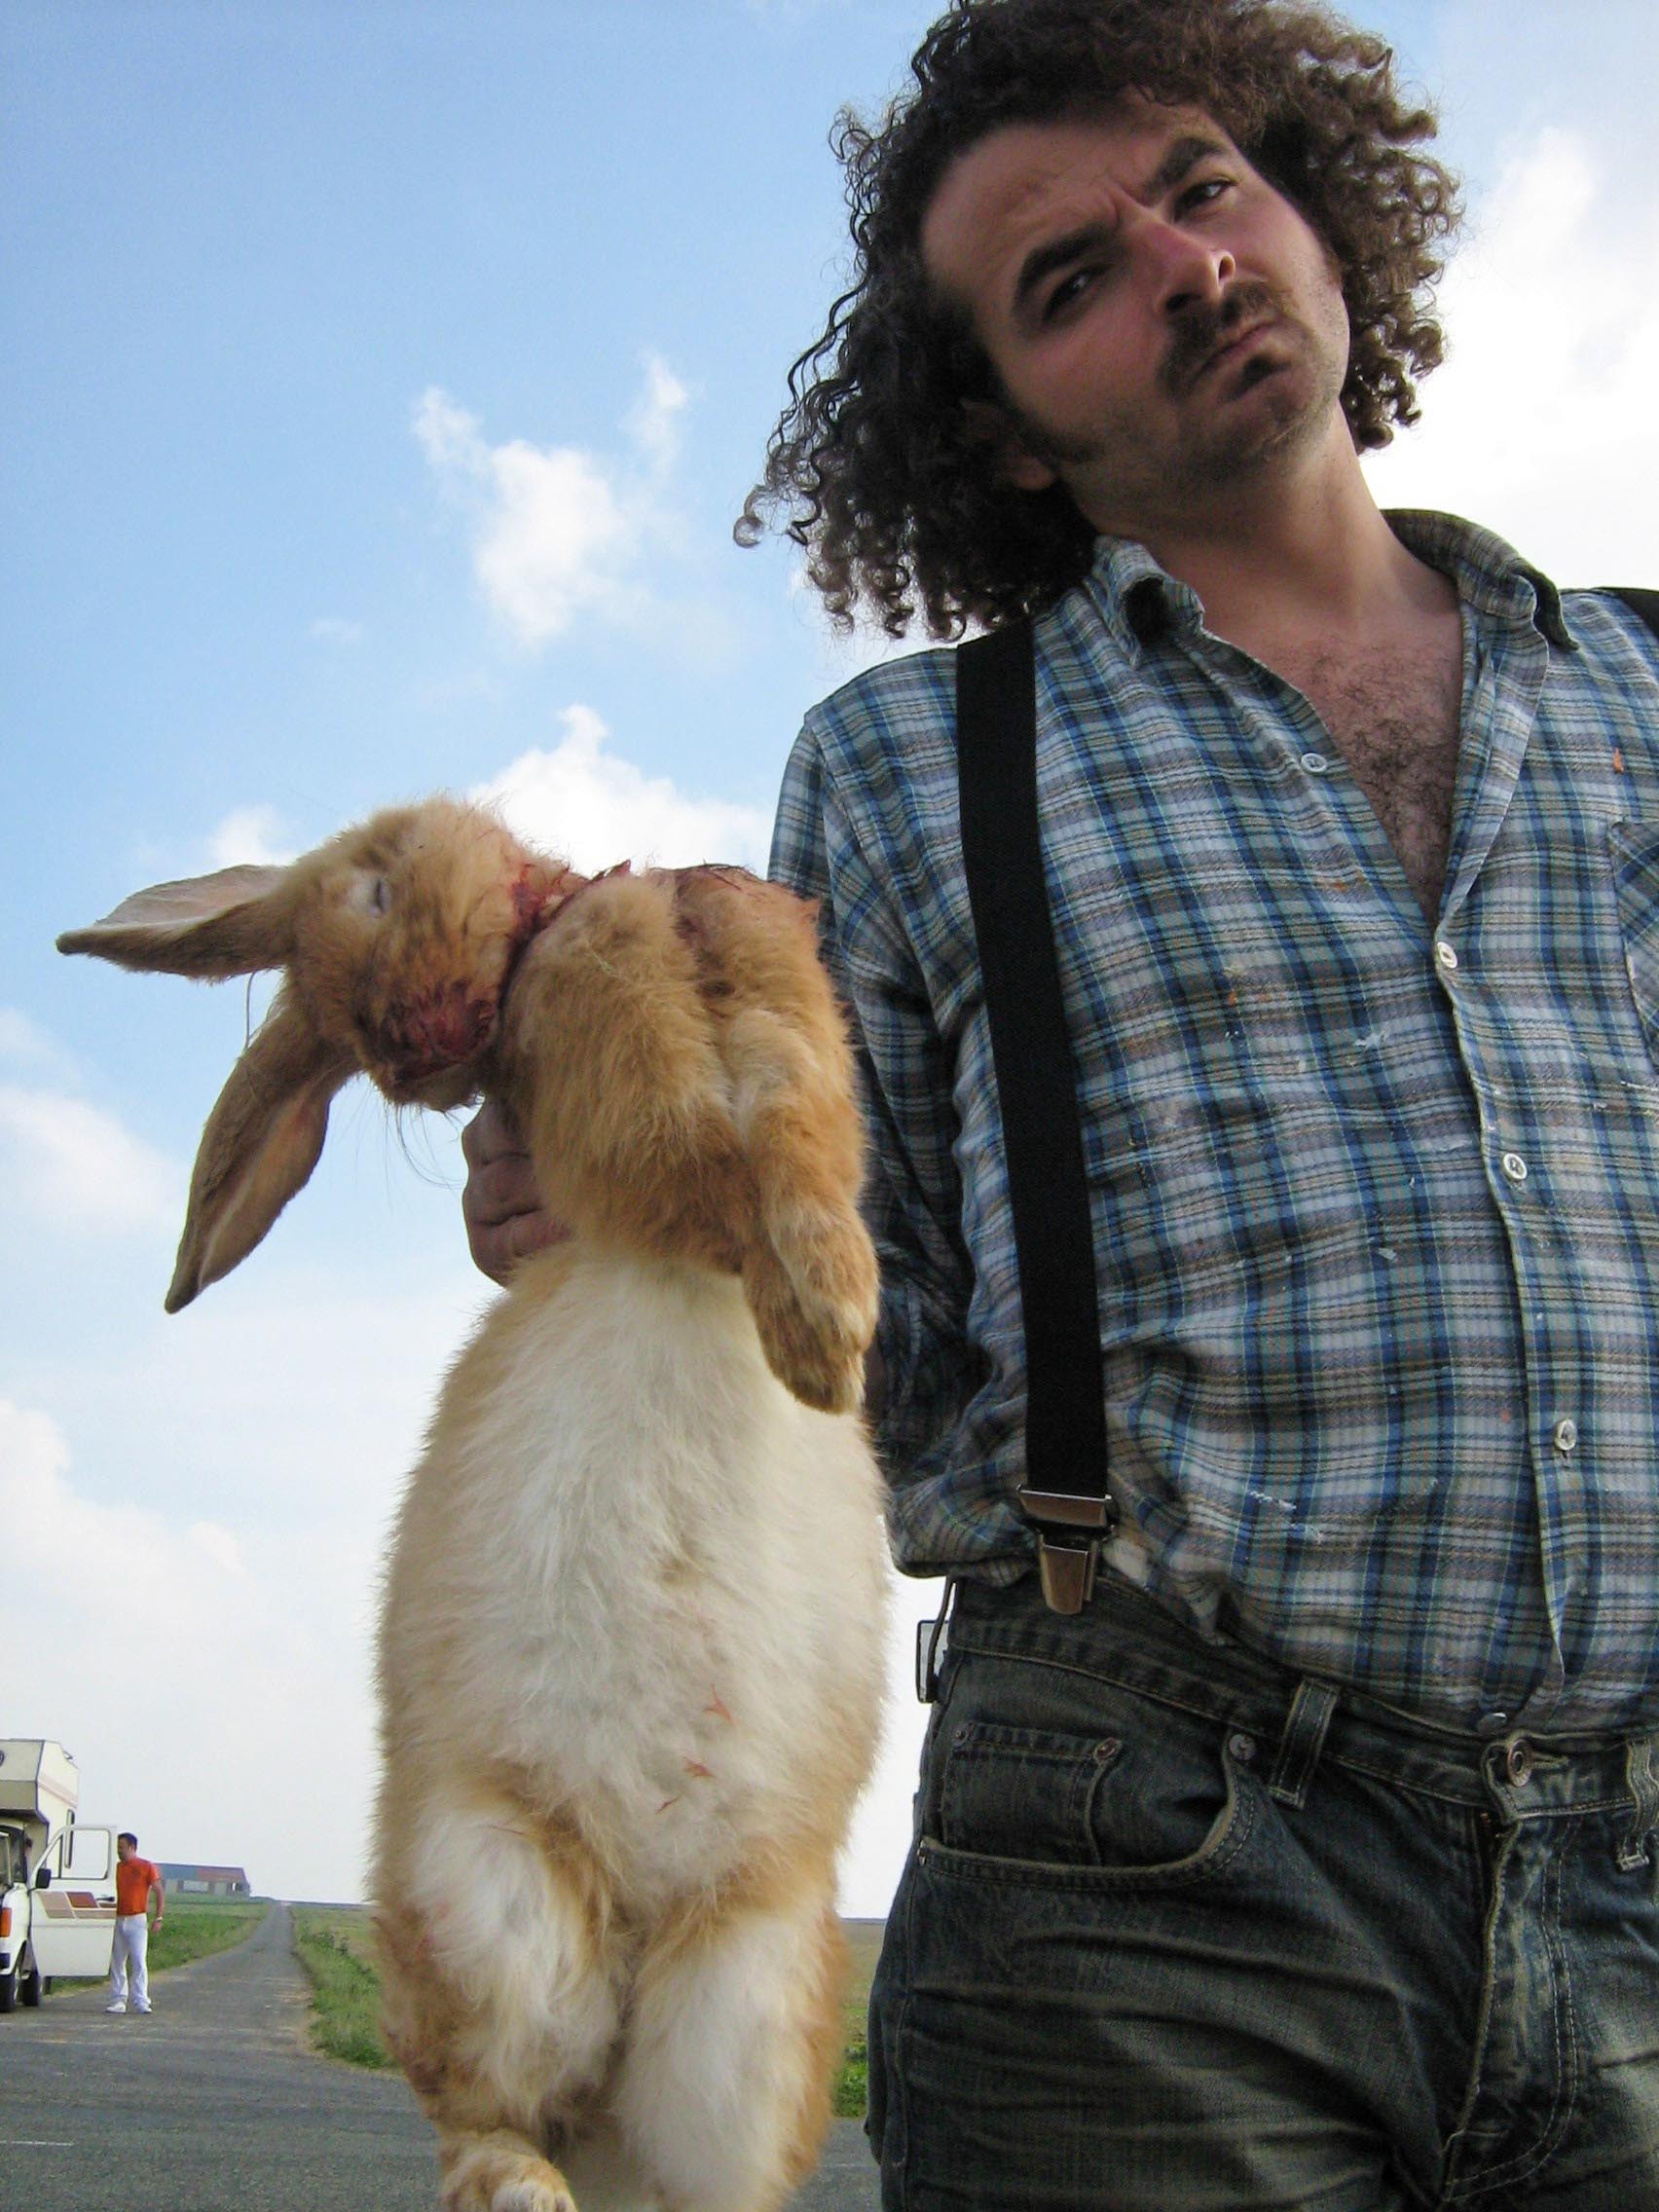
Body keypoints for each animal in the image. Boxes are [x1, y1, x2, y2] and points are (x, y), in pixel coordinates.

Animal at [59, 795, 890, 2212]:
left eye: (377, 892)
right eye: (351, 1044)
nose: (415, 1046)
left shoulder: (772, 988)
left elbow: (793, 1116)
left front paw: (827, 1331)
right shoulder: (614, 1086)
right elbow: (693, 1158)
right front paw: (808, 1323)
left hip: (751, 2001)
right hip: (486, 1908)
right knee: (483, 2116)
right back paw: (528, 2186)